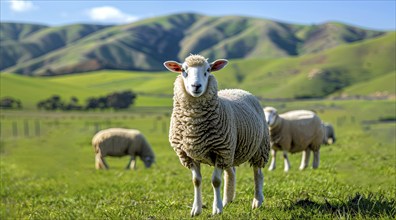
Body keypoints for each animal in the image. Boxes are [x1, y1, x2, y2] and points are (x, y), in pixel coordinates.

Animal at [163, 54, 270, 216]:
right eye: (183, 70)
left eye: (208, 70)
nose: (196, 86)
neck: (194, 124)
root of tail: (237, 89)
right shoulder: (189, 155)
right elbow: (196, 181)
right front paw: (197, 209)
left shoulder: (220, 151)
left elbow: (216, 181)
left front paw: (217, 209)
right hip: (231, 150)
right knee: (231, 172)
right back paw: (227, 200)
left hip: (259, 147)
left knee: (257, 173)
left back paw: (257, 201)